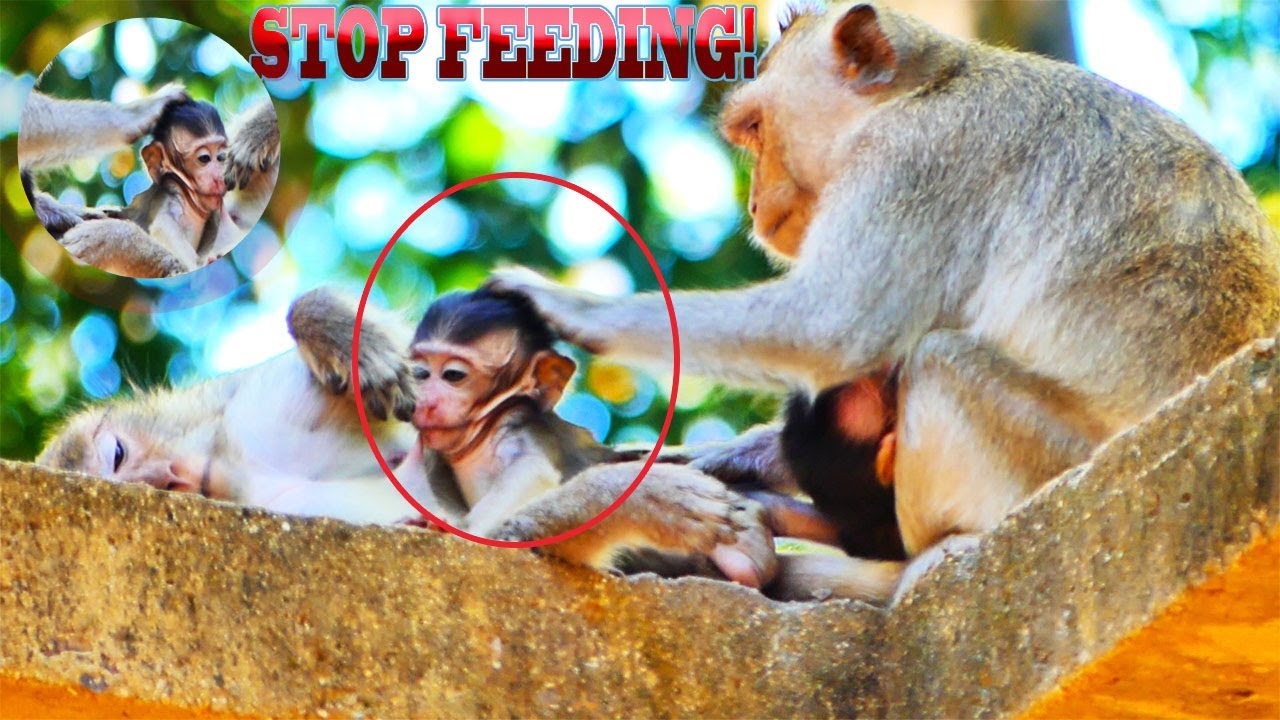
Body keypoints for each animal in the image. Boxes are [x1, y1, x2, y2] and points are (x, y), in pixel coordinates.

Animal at [487, 2, 1280, 603]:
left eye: (755, 128)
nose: (753, 201)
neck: (925, 87)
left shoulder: (913, 161)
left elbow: (834, 325)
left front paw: (565, 305)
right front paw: (721, 460)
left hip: (1051, 461)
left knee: (940, 361)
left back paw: (924, 557)